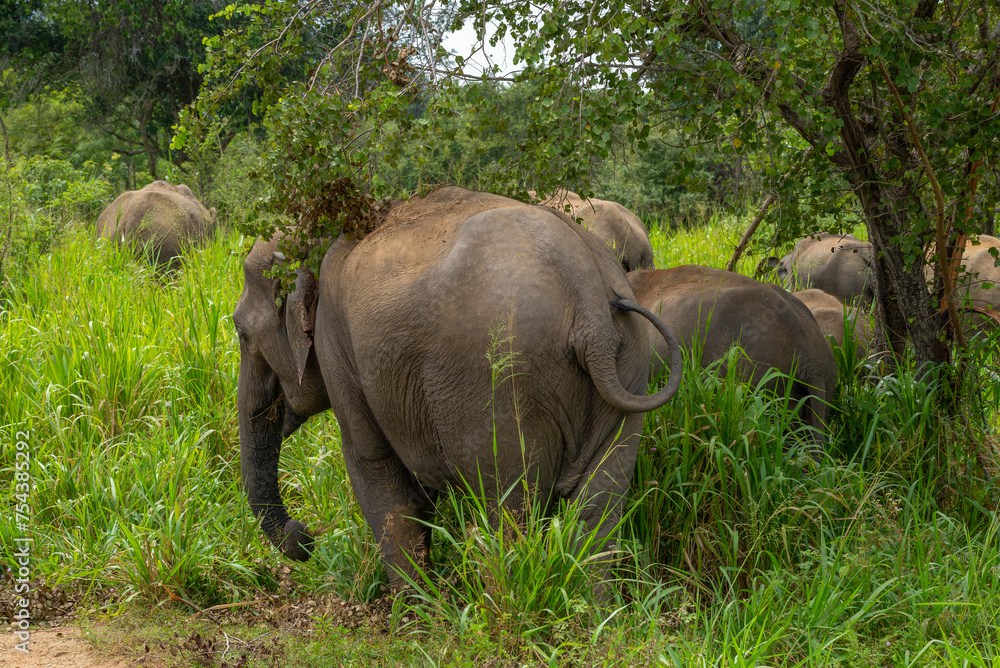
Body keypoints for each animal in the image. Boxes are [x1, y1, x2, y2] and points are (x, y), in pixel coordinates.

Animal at [233, 186, 684, 589]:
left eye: (240, 332)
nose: (305, 537)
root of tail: (588, 296)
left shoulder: (336, 344)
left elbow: (374, 468)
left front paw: (412, 614)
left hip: (495, 388)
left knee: (508, 511)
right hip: (629, 364)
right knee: (597, 509)